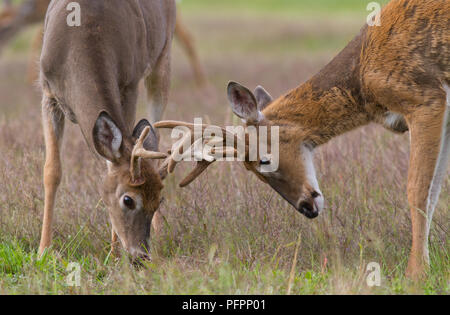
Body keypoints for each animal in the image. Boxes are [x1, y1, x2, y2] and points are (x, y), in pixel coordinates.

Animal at [37, 0, 178, 262]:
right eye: (128, 199)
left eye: (159, 199)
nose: (141, 255)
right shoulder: (48, 92)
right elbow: (51, 171)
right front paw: (43, 251)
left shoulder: (129, 83)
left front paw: (113, 254)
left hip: (163, 57)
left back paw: (161, 234)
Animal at [156, 0, 450, 280]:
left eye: (264, 161)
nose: (307, 207)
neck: (361, 75)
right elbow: (434, 191)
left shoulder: (423, 98)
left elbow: (418, 190)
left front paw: (415, 273)